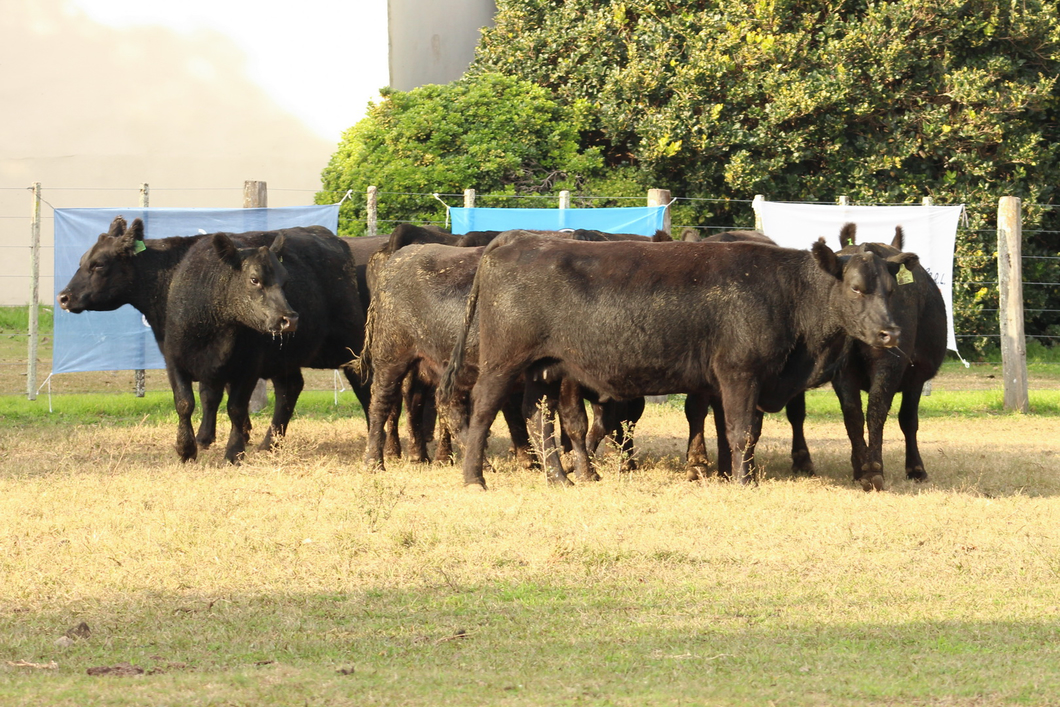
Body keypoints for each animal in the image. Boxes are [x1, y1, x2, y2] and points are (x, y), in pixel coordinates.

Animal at [434, 230, 915, 489]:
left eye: (891, 289)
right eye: (856, 288)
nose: (891, 333)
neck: (788, 292)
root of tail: (514, 240)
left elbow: (740, 433)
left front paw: (736, 474)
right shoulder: (739, 372)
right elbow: (740, 432)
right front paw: (743, 481)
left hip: (546, 369)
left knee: (538, 418)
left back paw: (561, 478)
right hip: (503, 362)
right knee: (483, 411)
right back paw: (474, 478)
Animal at [831, 223, 949, 489]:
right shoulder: (915, 376)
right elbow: (908, 420)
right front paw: (916, 468)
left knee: (854, 413)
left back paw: (862, 468)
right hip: (891, 361)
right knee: (877, 408)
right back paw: (874, 470)